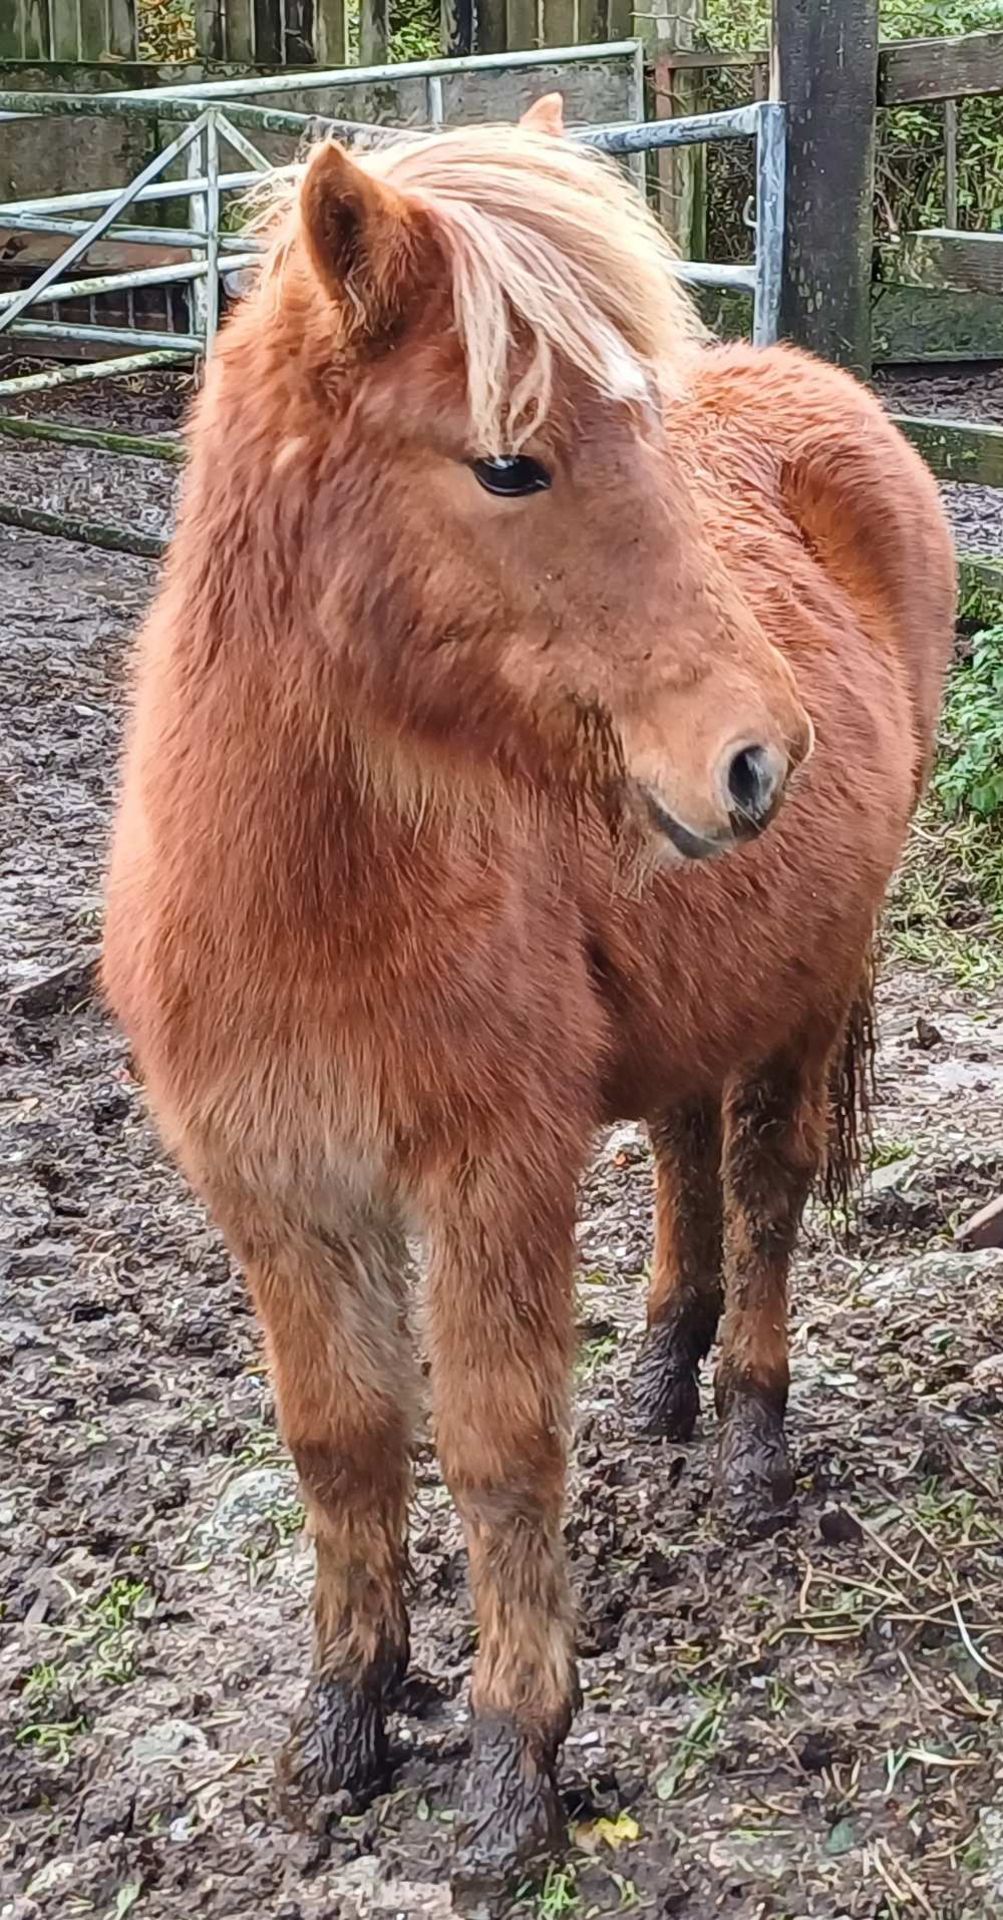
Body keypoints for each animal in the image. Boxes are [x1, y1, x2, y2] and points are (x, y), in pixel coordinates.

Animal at [103, 101, 953, 1873]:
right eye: (507, 462)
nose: (758, 757)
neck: (309, 895)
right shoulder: (275, 1188)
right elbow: (339, 1443)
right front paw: (345, 1718)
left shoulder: (487, 1173)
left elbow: (494, 1454)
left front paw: (512, 1763)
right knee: (689, 1156)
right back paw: (664, 1372)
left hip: (809, 981)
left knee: (764, 1192)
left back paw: (751, 1441)